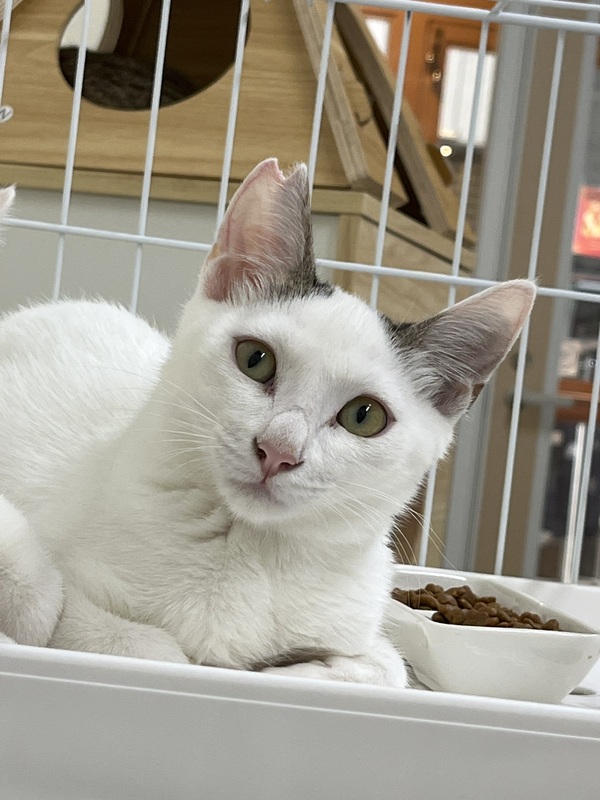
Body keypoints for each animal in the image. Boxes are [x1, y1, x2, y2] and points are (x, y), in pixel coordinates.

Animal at [0, 160, 535, 686]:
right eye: (255, 360)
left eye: (364, 416)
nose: (279, 450)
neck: (251, 549)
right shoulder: (72, 594)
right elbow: (137, 646)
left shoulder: (364, 627)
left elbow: (383, 670)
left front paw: (302, 667)